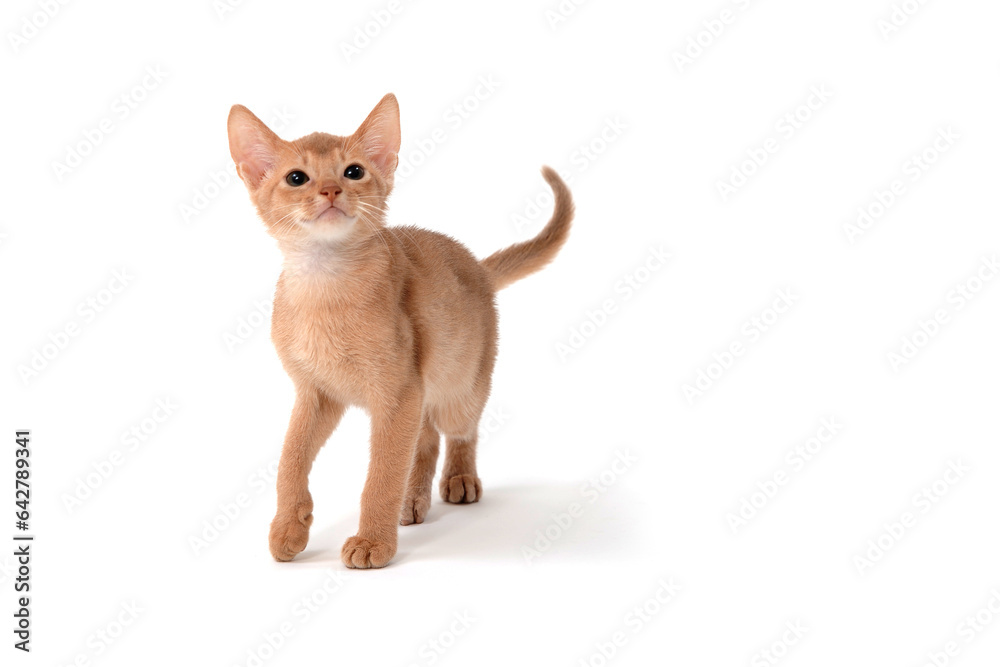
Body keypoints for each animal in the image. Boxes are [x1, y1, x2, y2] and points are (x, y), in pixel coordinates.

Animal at [226, 94, 572, 568]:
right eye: (297, 178)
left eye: (353, 171)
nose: (330, 190)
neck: (325, 287)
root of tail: (478, 268)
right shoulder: (317, 393)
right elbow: (289, 460)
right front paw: (289, 527)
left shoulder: (396, 393)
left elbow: (382, 474)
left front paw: (372, 541)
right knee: (425, 438)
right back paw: (413, 500)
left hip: (459, 385)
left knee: (460, 431)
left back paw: (459, 480)